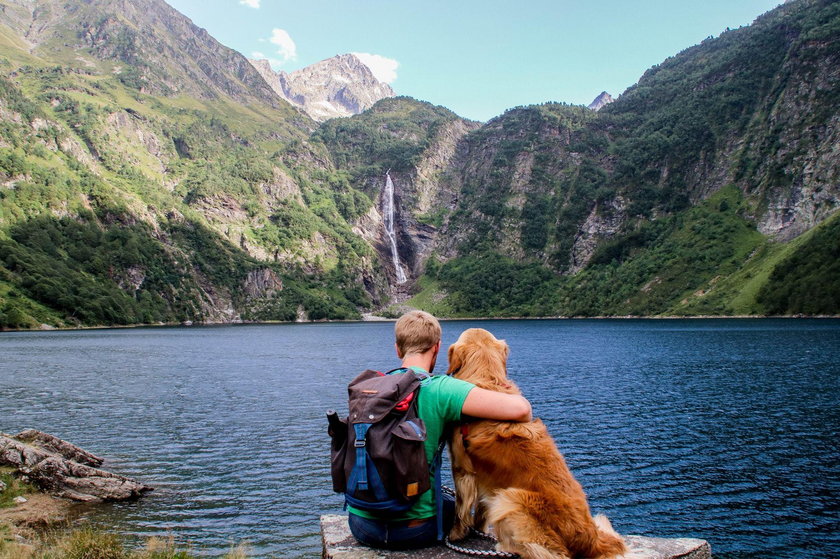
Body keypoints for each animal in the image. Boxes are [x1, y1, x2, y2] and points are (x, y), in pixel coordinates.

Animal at [450, 328, 628, 559]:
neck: (488, 380)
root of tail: (593, 539)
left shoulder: (462, 469)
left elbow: (460, 509)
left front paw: (454, 535)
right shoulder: (485, 479)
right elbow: (480, 510)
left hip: (511, 498)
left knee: (549, 552)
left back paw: (506, 546)